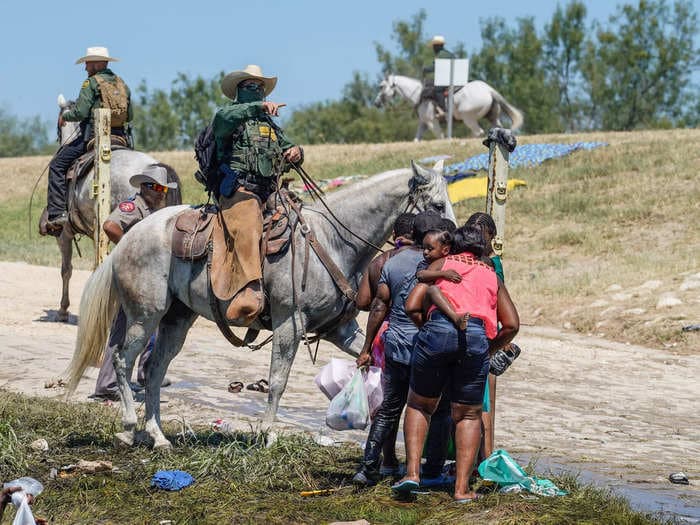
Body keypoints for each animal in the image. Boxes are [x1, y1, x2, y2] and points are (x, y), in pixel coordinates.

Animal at [65, 162, 454, 448]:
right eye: (437, 205)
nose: (450, 242)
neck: (331, 240)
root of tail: (130, 236)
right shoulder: (289, 324)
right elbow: (278, 380)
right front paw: (268, 434)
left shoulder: (341, 330)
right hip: (144, 316)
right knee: (122, 359)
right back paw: (130, 425)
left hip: (177, 319)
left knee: (156, 369)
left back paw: (159, 436)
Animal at [374, 73, 524, 140]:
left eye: (381, 86)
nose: (376, 103)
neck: (419, 94)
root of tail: (489, 90)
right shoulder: (423, 123)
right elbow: (416, 139)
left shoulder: (432, 122)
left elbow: (440, 137)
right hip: (492, 117)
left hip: (468, 118)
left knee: (478, 132)